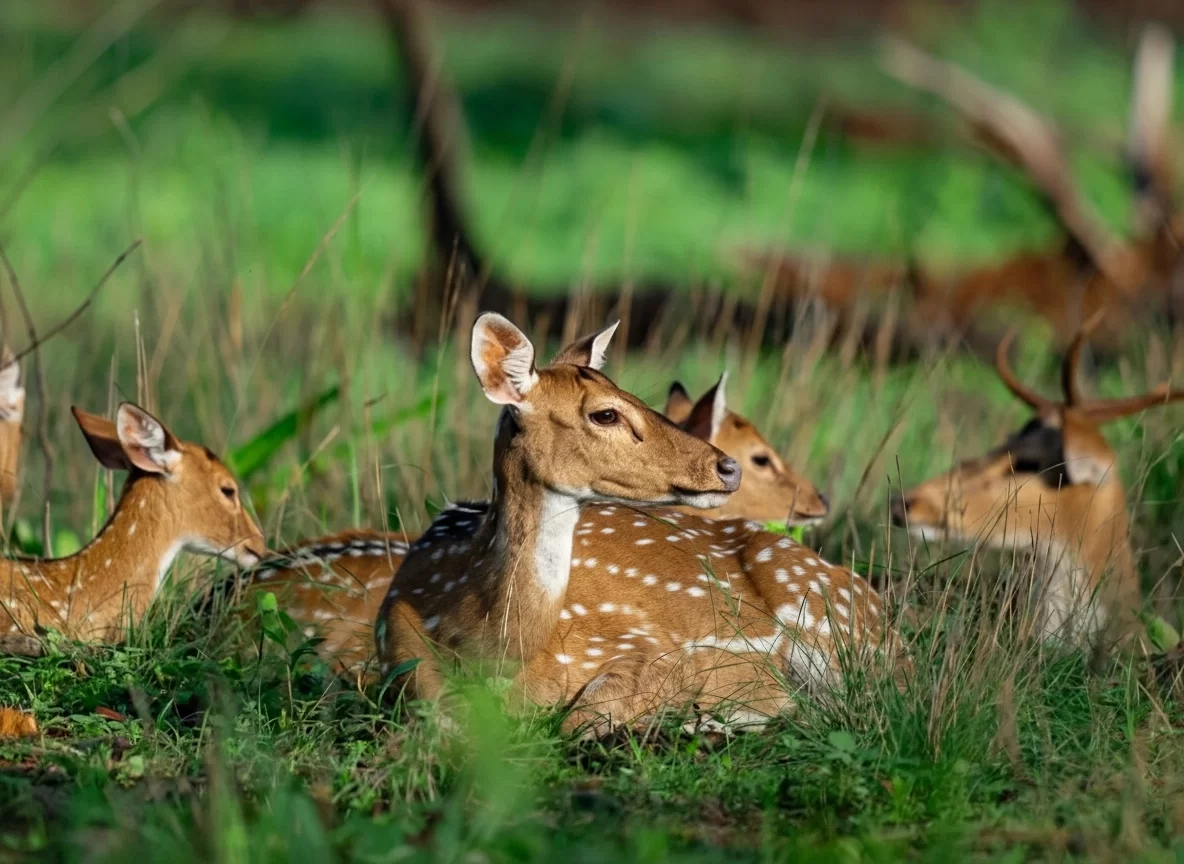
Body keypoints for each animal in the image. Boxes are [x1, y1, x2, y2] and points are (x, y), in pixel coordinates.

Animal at [373, 313, 899, 736]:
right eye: (605, 413)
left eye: (632, 394)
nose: (728, 467)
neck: (486, 650)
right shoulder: (397, 646)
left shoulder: (654, 647)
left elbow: (583, 718)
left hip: (834, 623)